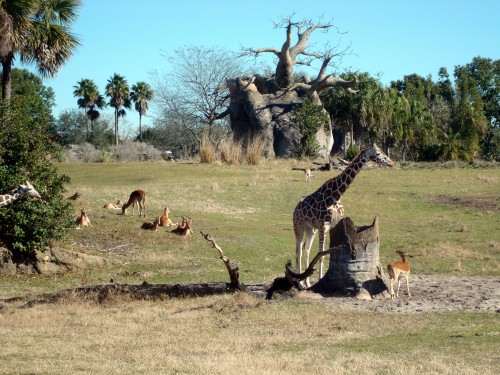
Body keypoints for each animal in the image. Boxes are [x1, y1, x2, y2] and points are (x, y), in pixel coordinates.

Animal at [292, 145, 394, 288]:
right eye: (379, 153)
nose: (392, 163)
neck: (336, 195)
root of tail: (295, 208)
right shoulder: (323, 225)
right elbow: (321, 254)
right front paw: (320, 280)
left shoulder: (334, 224)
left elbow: (329, 252)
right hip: (299, 225)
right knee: (299, 251)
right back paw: (300, 282)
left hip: (311, 228)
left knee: (306, 250)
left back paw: (306, 282)